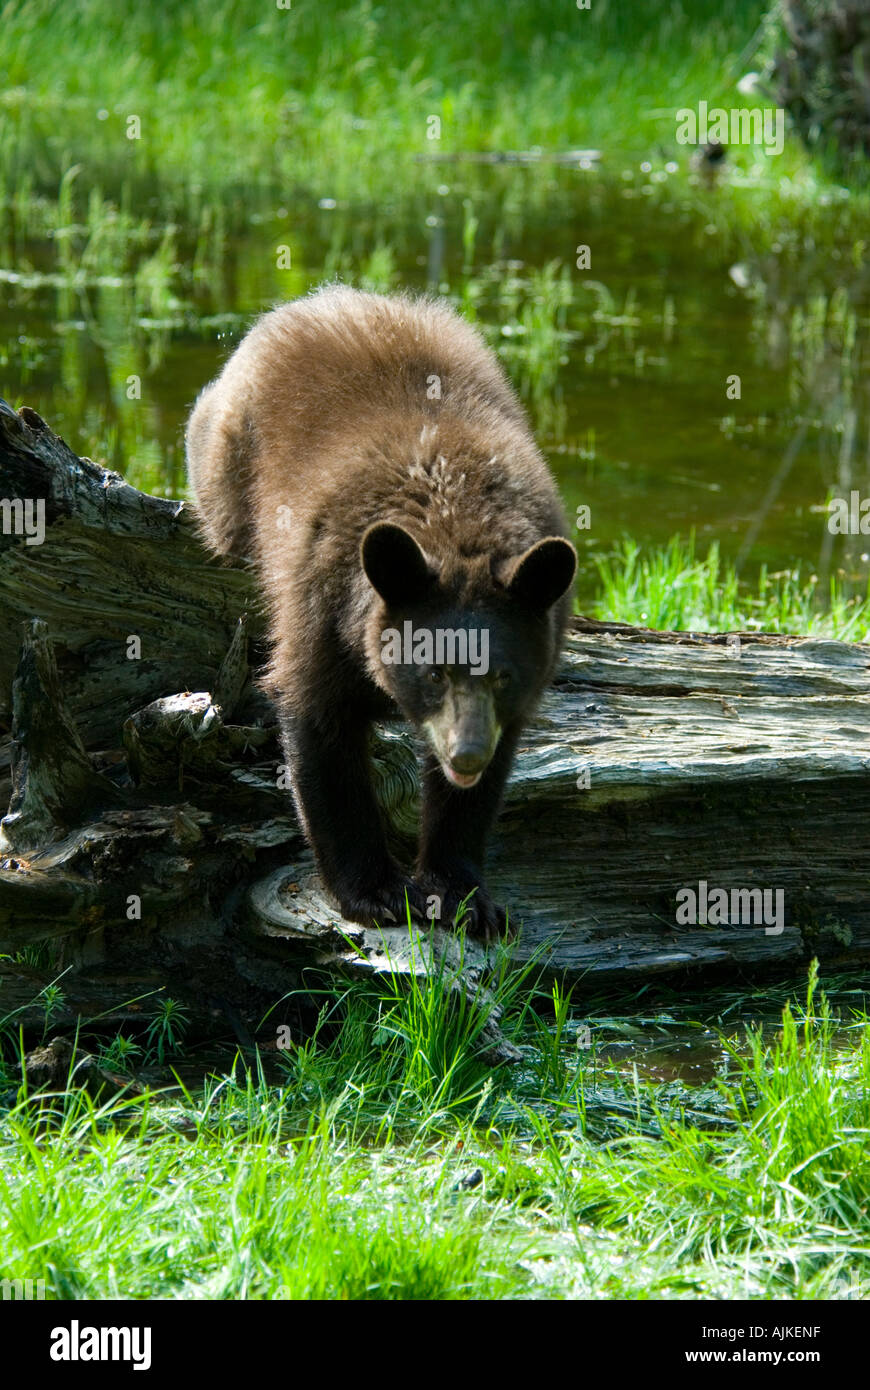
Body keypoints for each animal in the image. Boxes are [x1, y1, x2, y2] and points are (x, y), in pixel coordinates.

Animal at [185, 285, 576, 938]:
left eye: (502, 674)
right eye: (434, 671)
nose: (466, 754)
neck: (453, 516)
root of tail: (325, 297)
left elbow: (484, 783)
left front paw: (465, 894)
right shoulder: (323, 595)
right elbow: (319, 725)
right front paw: (376, 891)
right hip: (223, 459)